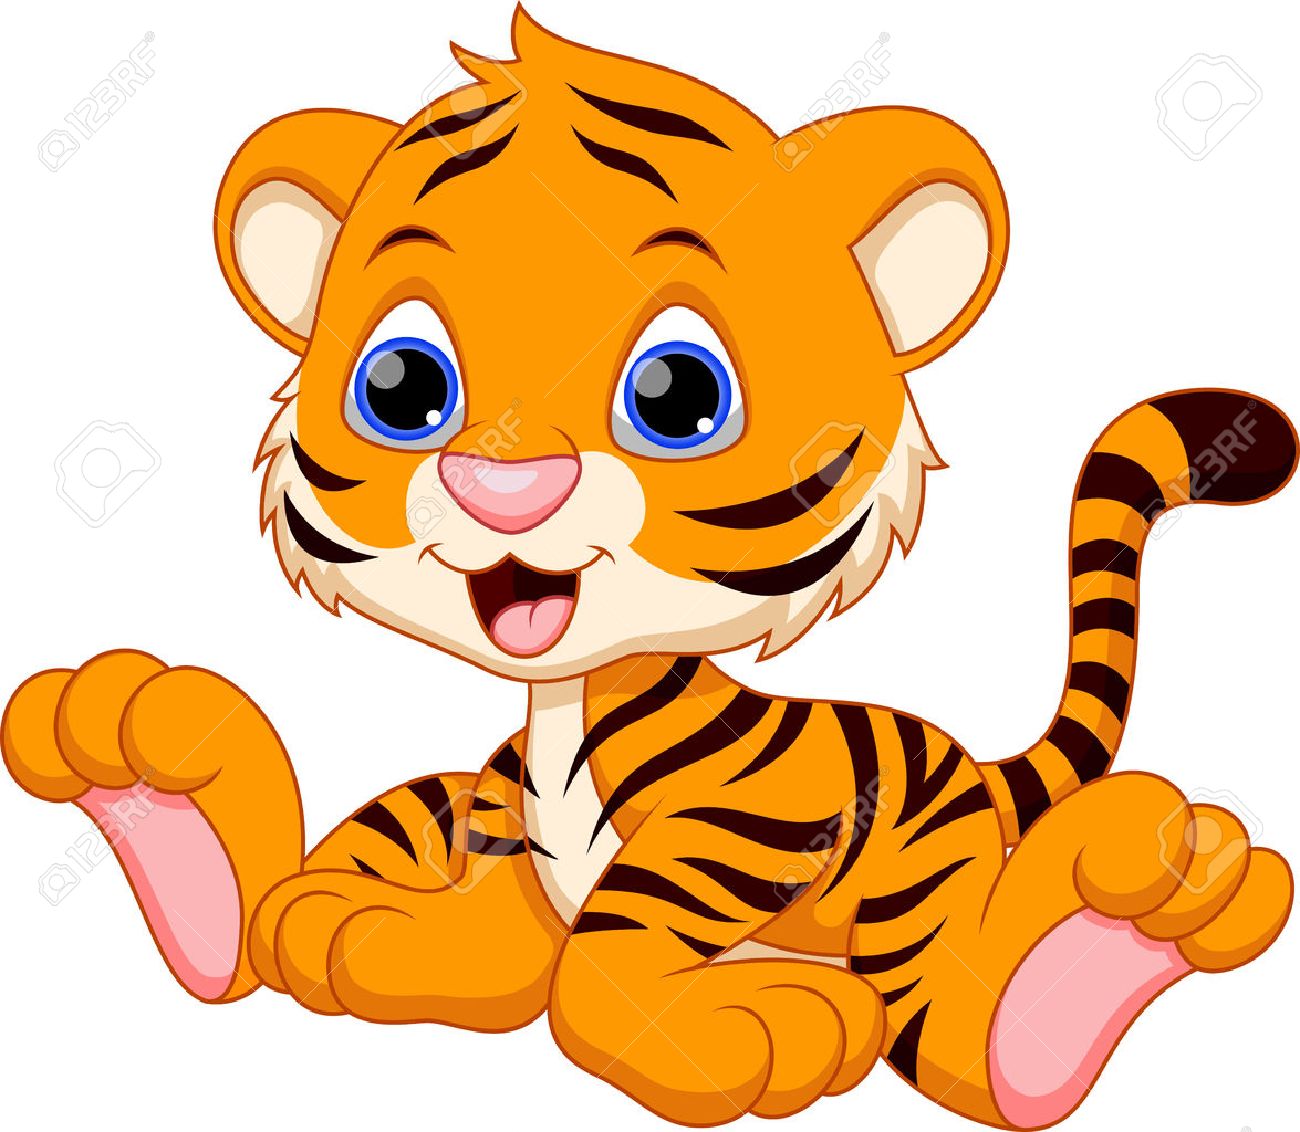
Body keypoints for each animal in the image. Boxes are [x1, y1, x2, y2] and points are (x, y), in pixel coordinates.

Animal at [3, 9, 1295, 1128]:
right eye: (401, 387)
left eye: (678, 395)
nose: (505, 489)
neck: (569, 701)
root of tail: (965, 757)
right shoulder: (500, 834)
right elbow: (473, 947)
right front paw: (344, 922)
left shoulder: (741, 830)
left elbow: (602, 970)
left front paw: (764, 1022)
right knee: (272, 916)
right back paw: (156, 777)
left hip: (921, 896)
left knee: (969, 1045)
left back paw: (1134, 913)